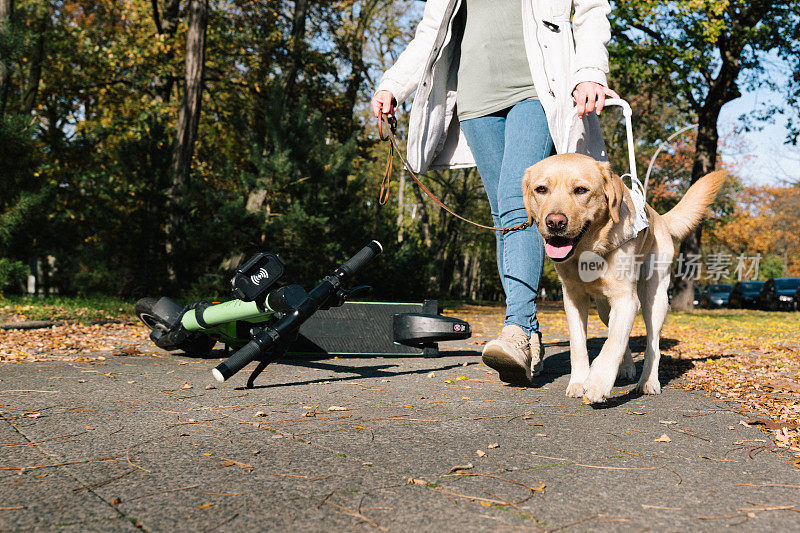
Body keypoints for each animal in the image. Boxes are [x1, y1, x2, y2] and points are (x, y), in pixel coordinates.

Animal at [520, 154, 728, 404]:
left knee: (652, 345)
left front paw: (598, 383)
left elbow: (614, 342)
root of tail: (659, 217)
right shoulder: (573, 299)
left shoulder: (627, 300)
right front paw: (578, 381)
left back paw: (648, 381)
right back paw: (626, 367)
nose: (555, 222)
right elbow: (580, 345)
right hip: (604, 308)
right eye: (541, 189)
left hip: (653, 299)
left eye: (580, 190)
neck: (589, 253)